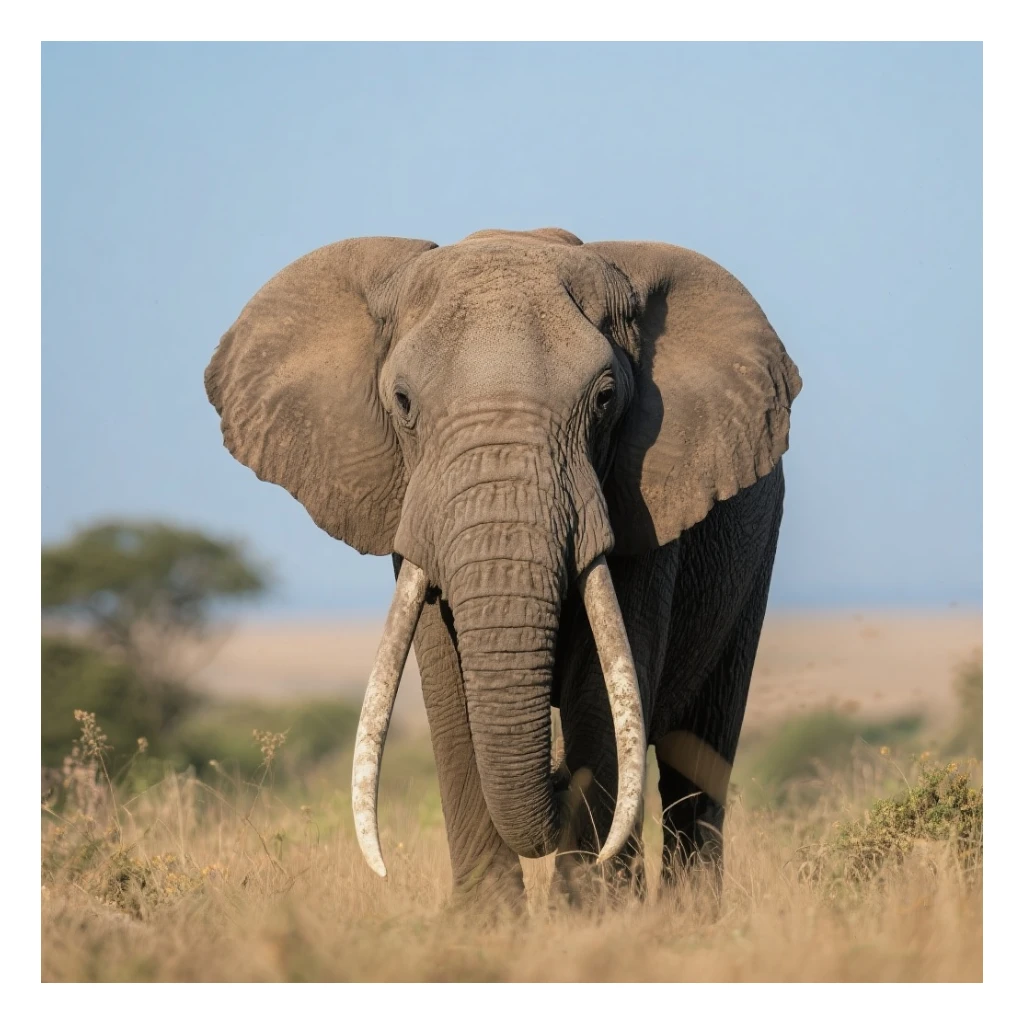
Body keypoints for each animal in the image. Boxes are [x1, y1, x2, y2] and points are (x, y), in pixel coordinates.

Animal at [204, 227, 801, 909]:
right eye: (402, 402)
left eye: (605, 400)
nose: (558, 775)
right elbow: (448, 683)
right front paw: (489, 922)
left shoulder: (646, 510)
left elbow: (601, 694)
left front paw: (594, 916)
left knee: (697, 756)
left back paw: (685, 916)